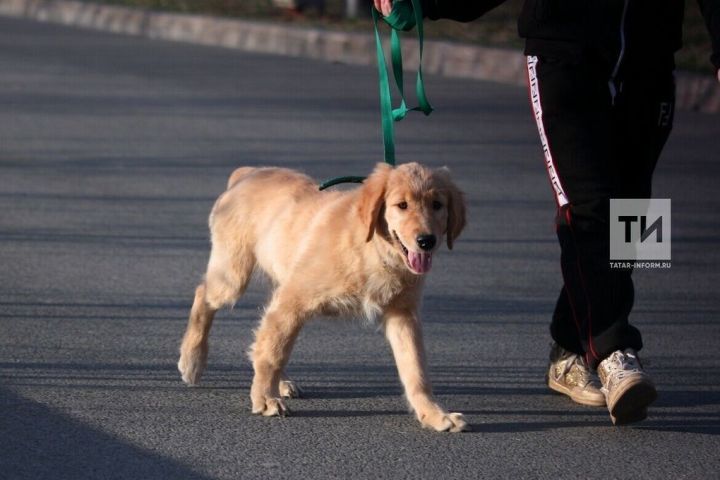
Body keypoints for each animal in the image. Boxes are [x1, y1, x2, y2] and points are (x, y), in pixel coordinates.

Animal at [177, 163, 464, 434]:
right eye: (401, 205)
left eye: (437, 205)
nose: (426, 241)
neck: (370, 248)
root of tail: (248, 173)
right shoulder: (294, 298)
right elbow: (273, 352)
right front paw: (265, 399)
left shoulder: (403, 314)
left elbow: (415, 368)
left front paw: (434, 414)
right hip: (233, 276)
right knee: (204, 295)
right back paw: (193, 360)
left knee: (265, 333)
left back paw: (280, 382)